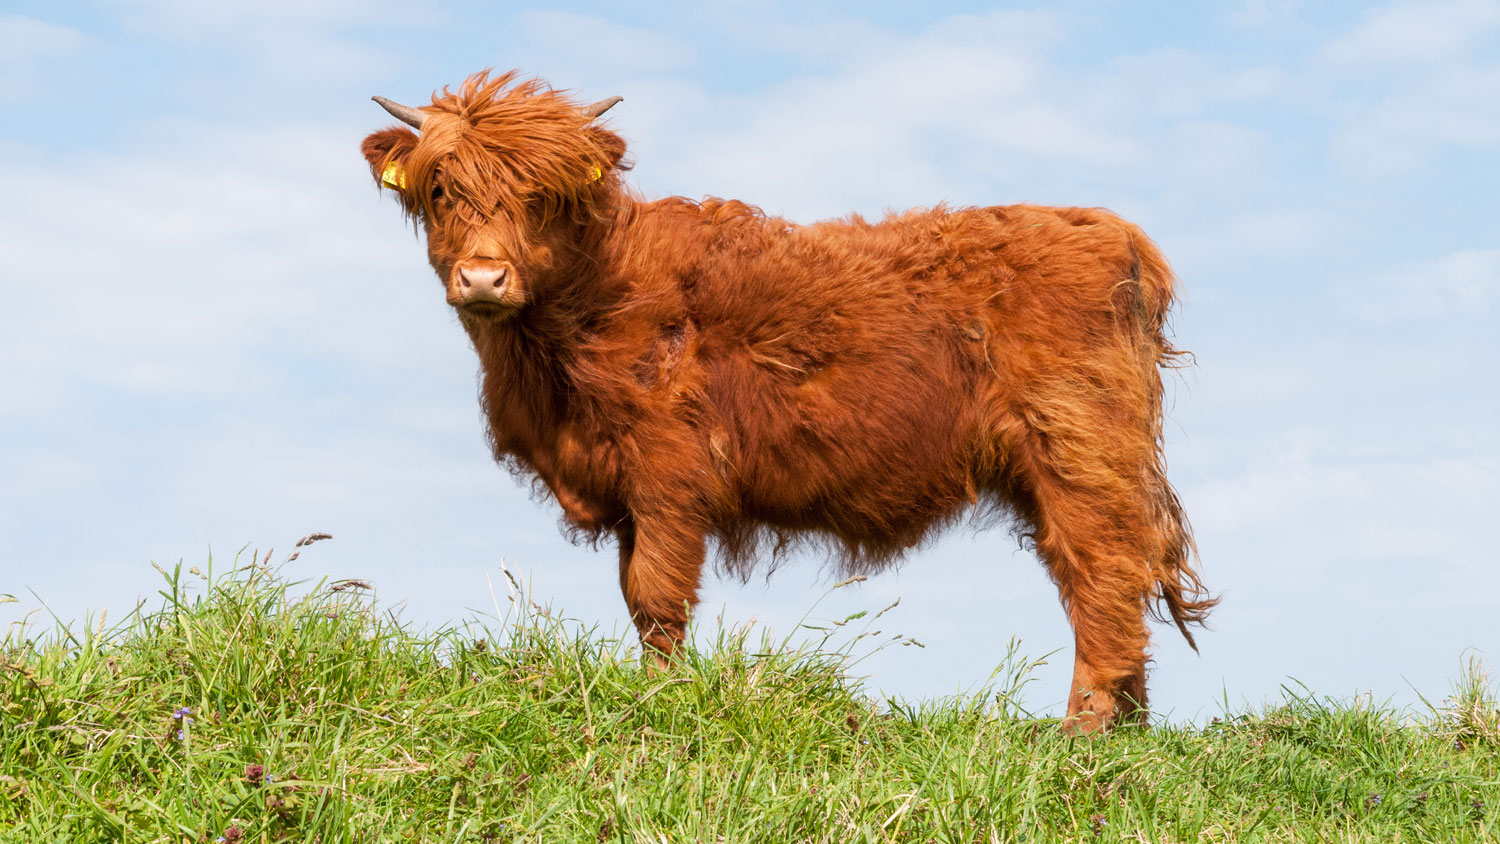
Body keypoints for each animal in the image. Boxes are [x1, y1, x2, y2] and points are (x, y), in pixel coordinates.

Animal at [366, 70, 1218, 734]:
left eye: (541, 196)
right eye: (441, 189)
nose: (483, 278)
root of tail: (1107, 228)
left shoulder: (669, 474)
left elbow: (658, 596)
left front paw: (660, 700)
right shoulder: (625, 488)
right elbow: (635, 594)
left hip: (1078, 452)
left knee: (1103, 577)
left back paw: (1084, 730)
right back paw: (1128, 728)